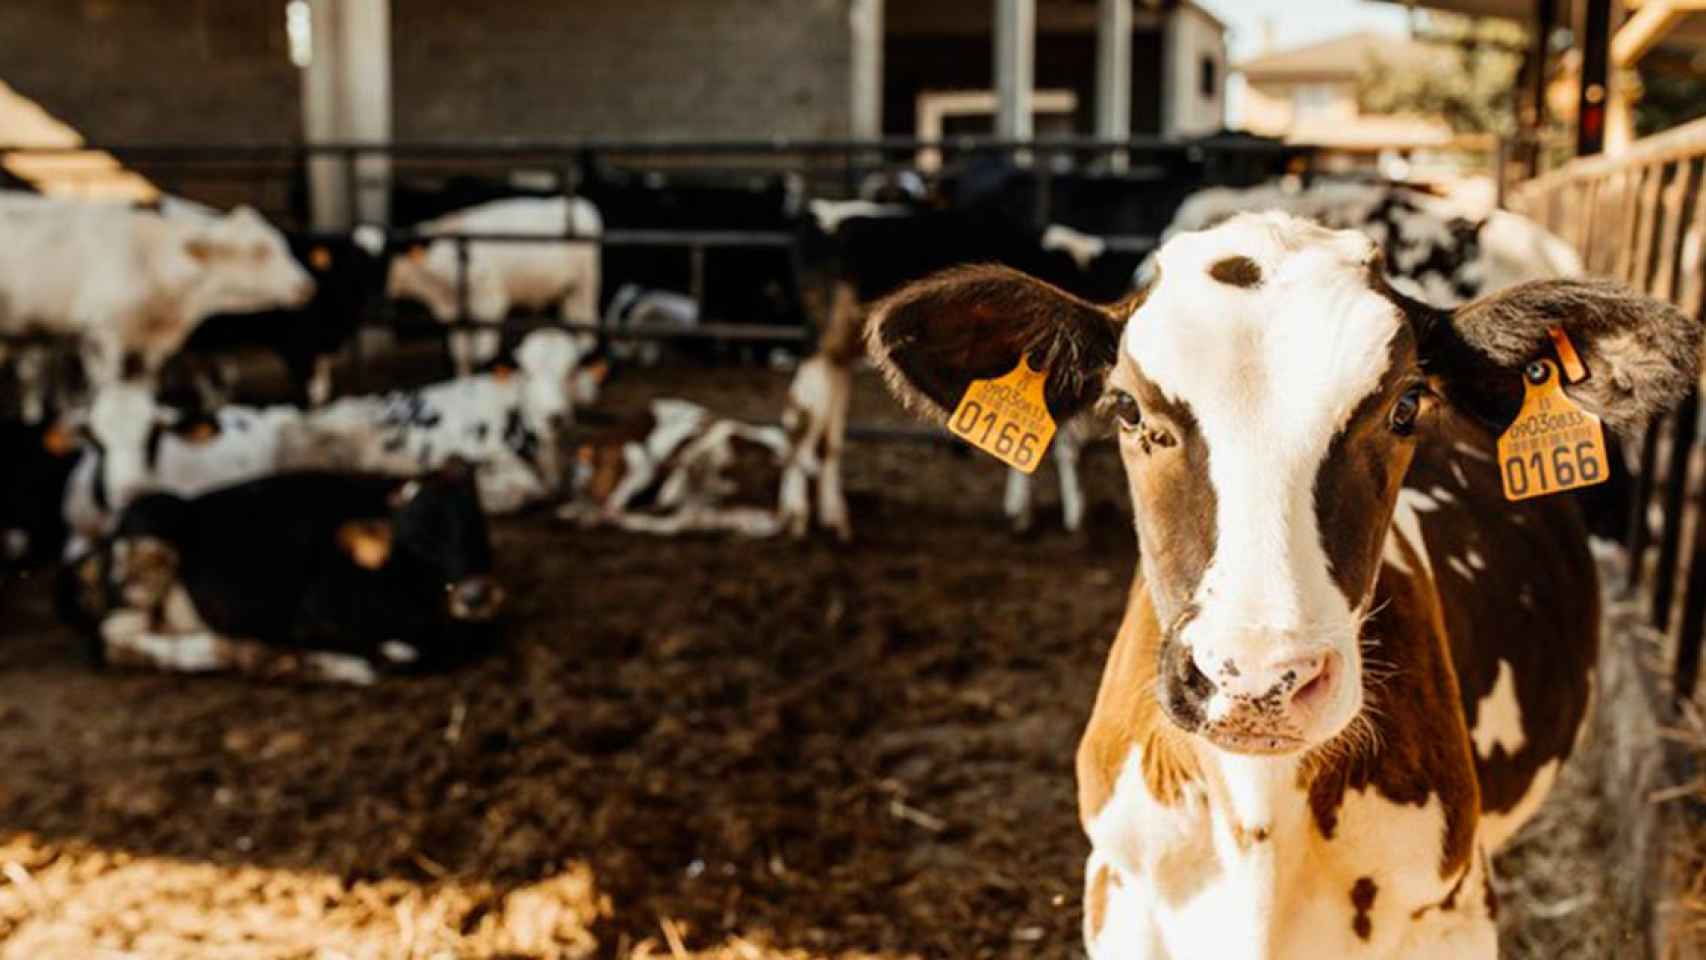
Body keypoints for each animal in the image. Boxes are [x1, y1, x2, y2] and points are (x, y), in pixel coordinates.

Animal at [60, 463, 498, 682]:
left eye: (476, 524)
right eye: (417, 545)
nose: (476, 596)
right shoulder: (313, 619)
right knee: (114, 642)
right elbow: (401, 652)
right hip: (150, 532)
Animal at [388, 195, 607, 375]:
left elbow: (482, 355)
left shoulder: (489, 305)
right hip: (568, 291)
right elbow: (460, 355)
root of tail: (580, 204)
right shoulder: (456, 314)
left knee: (587, 325)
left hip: (586, 285)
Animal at [866, 212, 1706, 960]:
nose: (1257, 678)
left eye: (1406, 406)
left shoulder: (1454, 913)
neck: (1258, 822)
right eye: (1129, 408)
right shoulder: (1120, 894)